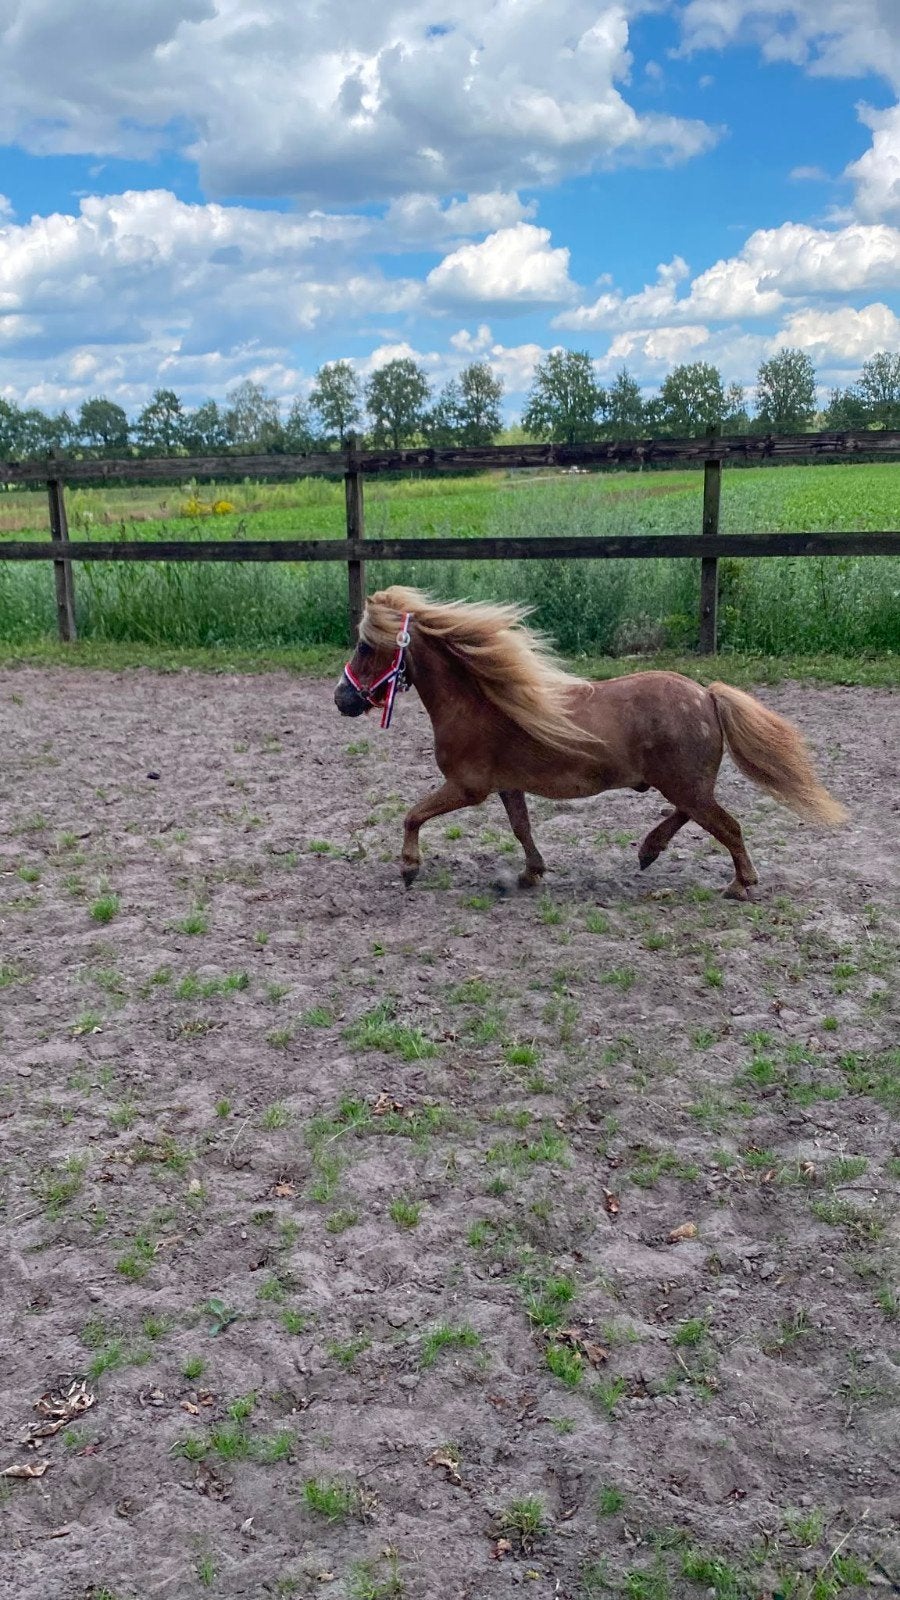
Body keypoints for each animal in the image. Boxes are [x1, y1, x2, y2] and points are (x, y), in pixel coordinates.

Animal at [334, 586, 847, 899]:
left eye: (364, 646)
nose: (341, 699)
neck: (478, 702)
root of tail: (706, 695)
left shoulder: (467, 788)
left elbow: (413, 815)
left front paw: (408, 867)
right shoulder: (507, 785)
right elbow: (521, 828)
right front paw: (531, 873)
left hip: (685, 784)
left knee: (727, 825)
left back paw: (739, 884)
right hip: (683, 784)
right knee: (693, 815)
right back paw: (648, 852)